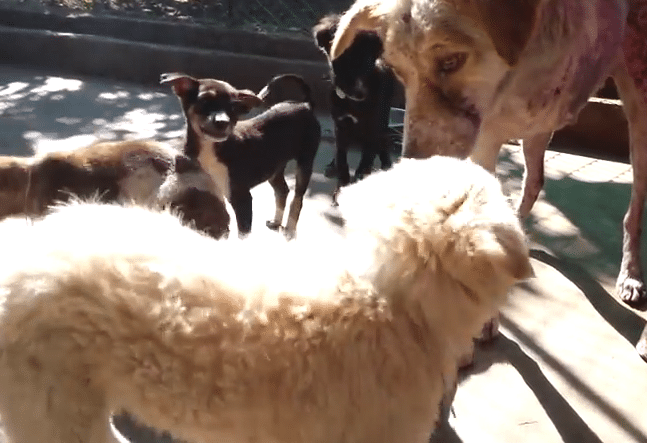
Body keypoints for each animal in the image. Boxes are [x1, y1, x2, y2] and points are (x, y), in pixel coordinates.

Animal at [161, 73, 322, 239]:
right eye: (205, 101)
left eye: (234, 108)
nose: (222, 122)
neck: (211, 149)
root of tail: (306, 105)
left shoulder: (242, 199)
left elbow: (242, 235)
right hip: (275, 168)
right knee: (282, 191)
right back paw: (276, 222)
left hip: (305, 162)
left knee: (297, 199)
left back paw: (289, 230)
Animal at [312, 13, 398, 196]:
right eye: (342, 60)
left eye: (368, 60)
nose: (359, 93)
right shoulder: (340, 124)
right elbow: (341, 158)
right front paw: (341, 186)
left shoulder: (373, 127)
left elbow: (365, 161)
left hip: (383, 123)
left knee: (383, 142)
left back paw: (386, 163)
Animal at [332, 0, 647, 358]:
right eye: (397, 71)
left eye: (451, 61)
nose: (415, 169)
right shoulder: (486, 139)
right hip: (538, 132)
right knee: (534, 181)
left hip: (637, 111)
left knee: (633, 208)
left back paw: (631, 276)